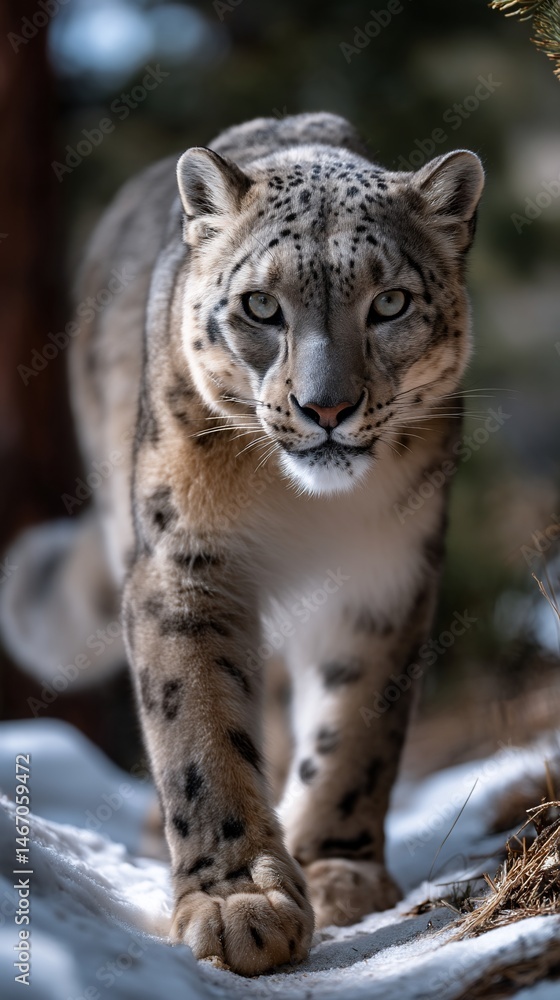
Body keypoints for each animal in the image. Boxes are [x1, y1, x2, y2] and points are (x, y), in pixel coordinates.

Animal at [0, 112, 484, 976]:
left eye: (390, 301)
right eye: (261, 305)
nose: (326, 408)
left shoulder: (385, 574)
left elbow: (357, 722)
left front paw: (336, 870)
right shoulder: (187, 563)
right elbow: (197, 726)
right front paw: (239, 905)